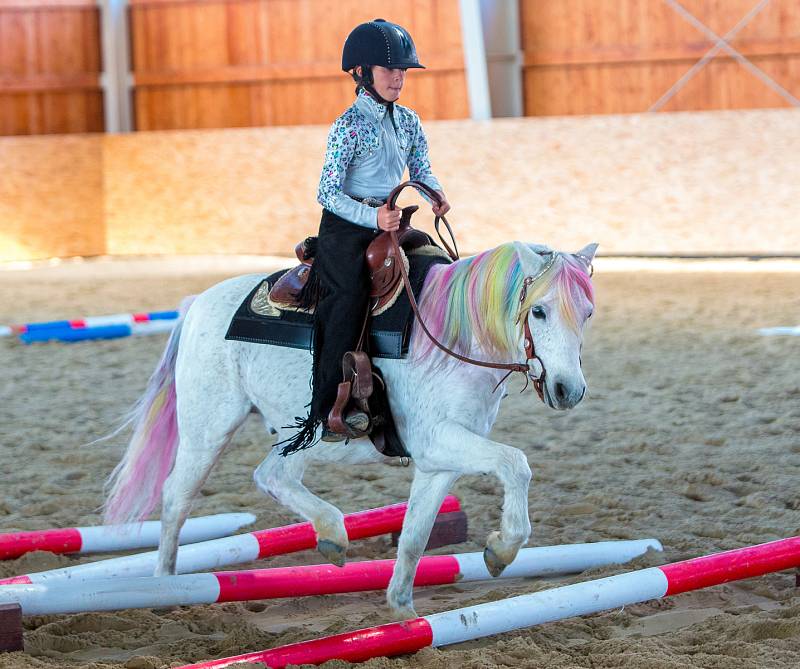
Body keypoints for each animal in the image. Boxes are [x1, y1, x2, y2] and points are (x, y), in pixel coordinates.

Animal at [104, 239, 592, 616]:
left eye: (587, 312)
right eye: (539, 311)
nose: (569, 390)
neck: (454, 336)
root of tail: (196, 305)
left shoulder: (440, 461)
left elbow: (415, 535)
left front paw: (403, 611)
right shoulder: (438, 440)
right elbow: (517, 463)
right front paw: (502, 549)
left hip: (303, 434)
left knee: (272, 475)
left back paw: (333, 536)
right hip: (208, 430)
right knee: (176, 499)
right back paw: (165, 588)